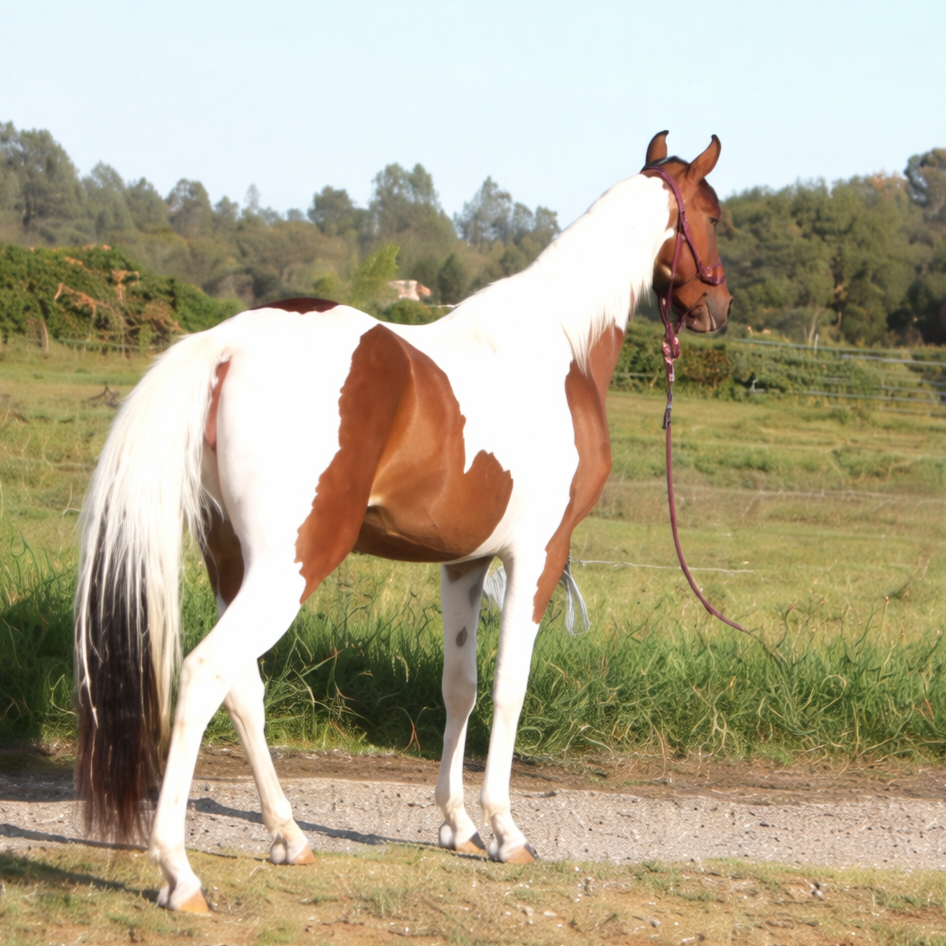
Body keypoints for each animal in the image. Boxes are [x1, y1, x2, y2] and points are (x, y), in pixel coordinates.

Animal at [74, 131, 732, 913]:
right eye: (713, 215)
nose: (719, 306)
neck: (558, 345)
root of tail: (227, 345)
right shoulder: (538, 555)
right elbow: (509, 688)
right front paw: (505, 833)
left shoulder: (464, 562)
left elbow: (460, 686)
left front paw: (457, 825)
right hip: (291, 567)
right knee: (206, 673)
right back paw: (179, 874)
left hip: (234, 564)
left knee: (244, 688)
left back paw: (289, 838)